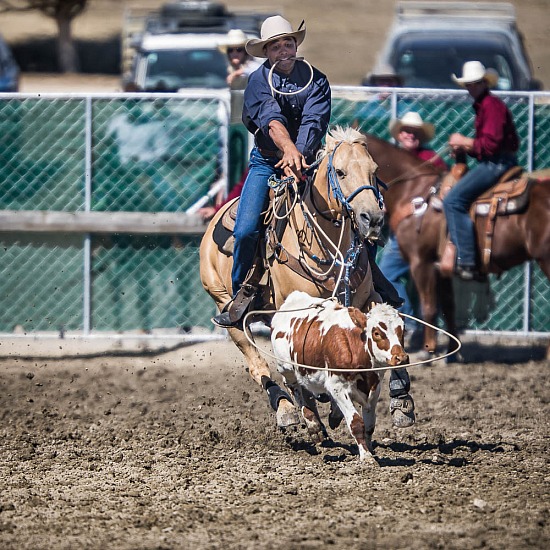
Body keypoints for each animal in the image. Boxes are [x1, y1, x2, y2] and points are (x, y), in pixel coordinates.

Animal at [201, 127, 386, 430]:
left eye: (374, 170)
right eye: (340, 172)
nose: (372, 218)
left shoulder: (366, 300)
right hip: (225, 305)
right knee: (257, 364)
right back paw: (288, 408)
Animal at [272, 292, 410, 464]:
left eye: (402, 330)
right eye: (377, 333)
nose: (401, 358)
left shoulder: (374, 388)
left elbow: (370, 424)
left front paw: (370, 450)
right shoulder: (337, 387)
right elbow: (356, 423)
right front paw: (366, 456)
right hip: (286, 369)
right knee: (294, 388)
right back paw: (313, 425)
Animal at [362, 136, 550, 356]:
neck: (413, 192)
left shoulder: (421, 262)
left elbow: (429, 307)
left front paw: (428, 350)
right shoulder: (440, 268)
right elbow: (448, 307)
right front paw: (452, 351)